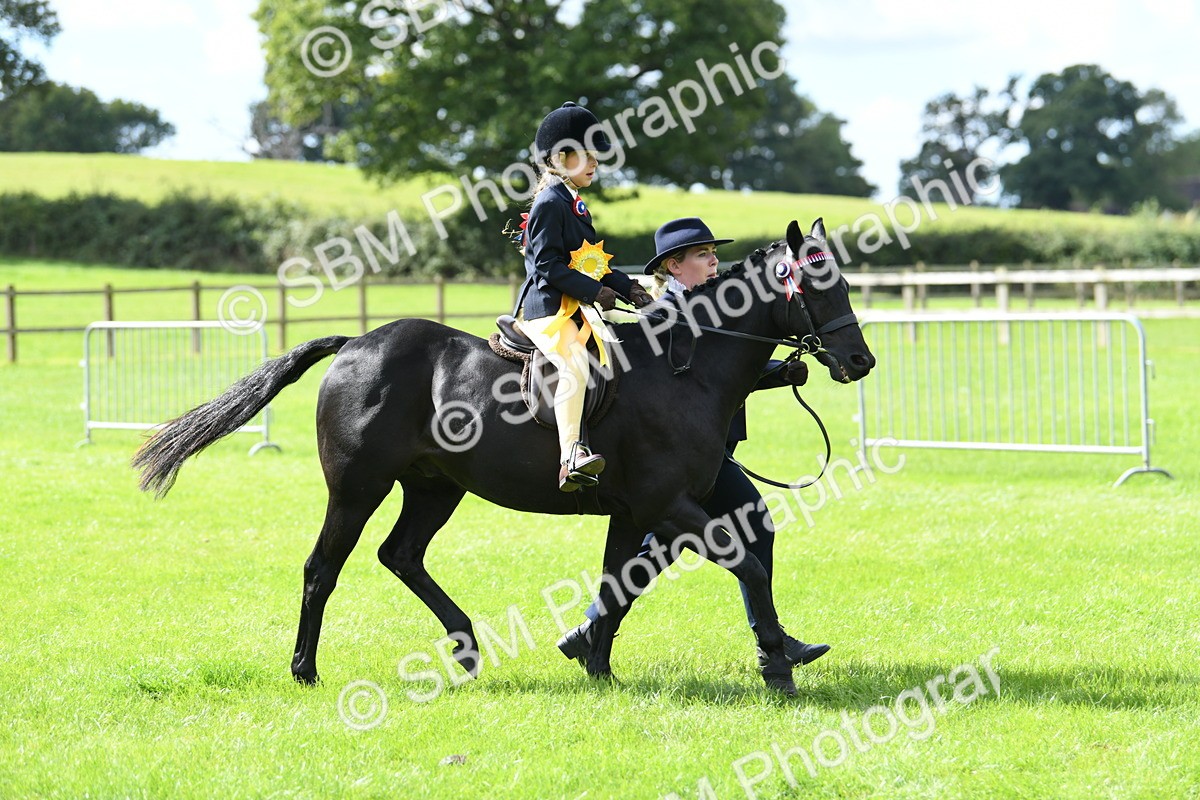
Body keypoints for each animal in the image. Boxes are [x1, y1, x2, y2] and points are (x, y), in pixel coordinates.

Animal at [133, 218, 875, 696]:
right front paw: (777, 668)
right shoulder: (666, 505)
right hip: (357, 488)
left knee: (401, 556)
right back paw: (305, 671)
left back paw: (465, 648)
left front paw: (596, 665)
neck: (681, 368)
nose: (861, 361)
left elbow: (619, 582)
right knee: (323, 569)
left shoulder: (638, 511)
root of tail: (354, 345)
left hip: (434, 488)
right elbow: (745, 563)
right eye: (819, 286)